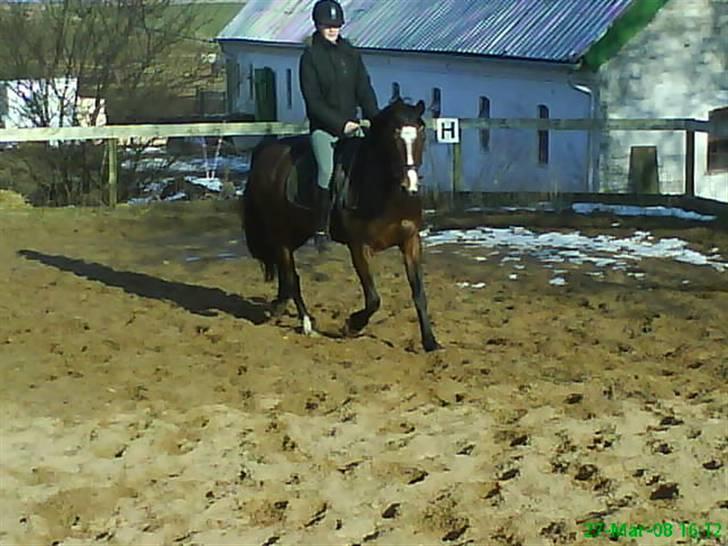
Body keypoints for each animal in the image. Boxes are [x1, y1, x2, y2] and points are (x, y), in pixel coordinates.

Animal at [242, 96, 440, 352]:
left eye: (421, 134)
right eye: (394, 136)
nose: (411, 186)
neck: (387, 194)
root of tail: (266, 155)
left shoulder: (410, 241)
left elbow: (419, 293)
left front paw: (430, 342)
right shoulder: (359, 247)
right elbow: (374, 299)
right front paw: (351, 326)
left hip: (297, 232)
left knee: (287, 276)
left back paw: (281, 307)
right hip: (280, 232)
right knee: (291, 276)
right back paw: (306, 324)